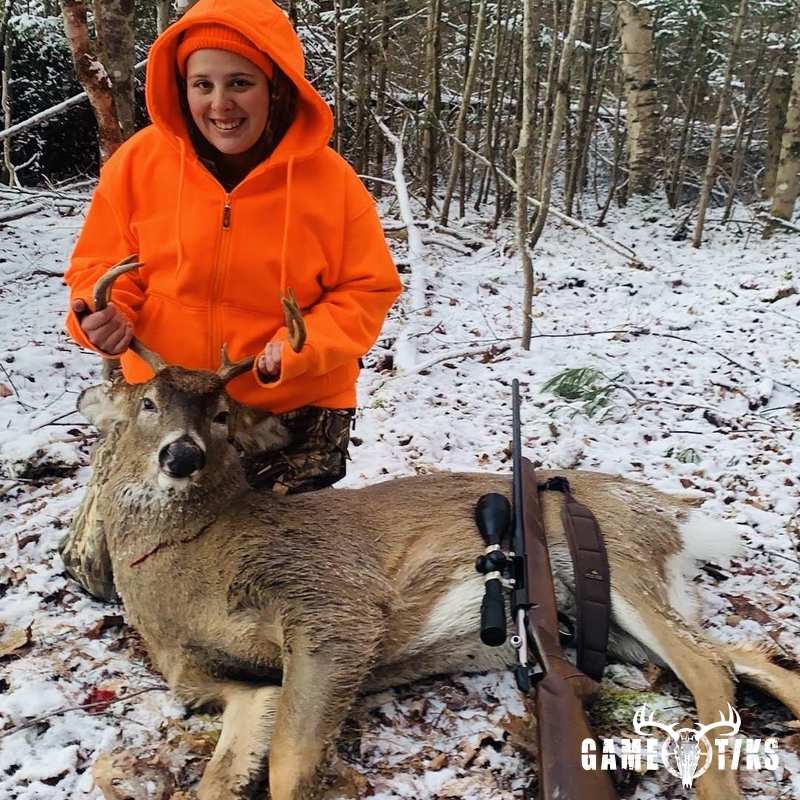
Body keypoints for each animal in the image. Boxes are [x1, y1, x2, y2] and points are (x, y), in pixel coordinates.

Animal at [67, 260, 800, 800]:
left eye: (221, 416)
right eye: (148, 403)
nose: (181, 455)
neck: (191, 568)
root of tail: (668, 513)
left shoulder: (331, 604)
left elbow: (289, 765)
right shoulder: (204, 678)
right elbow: (228, 772)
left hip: (618, 561)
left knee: (708, 666)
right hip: (614, 619)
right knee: (738, 654)